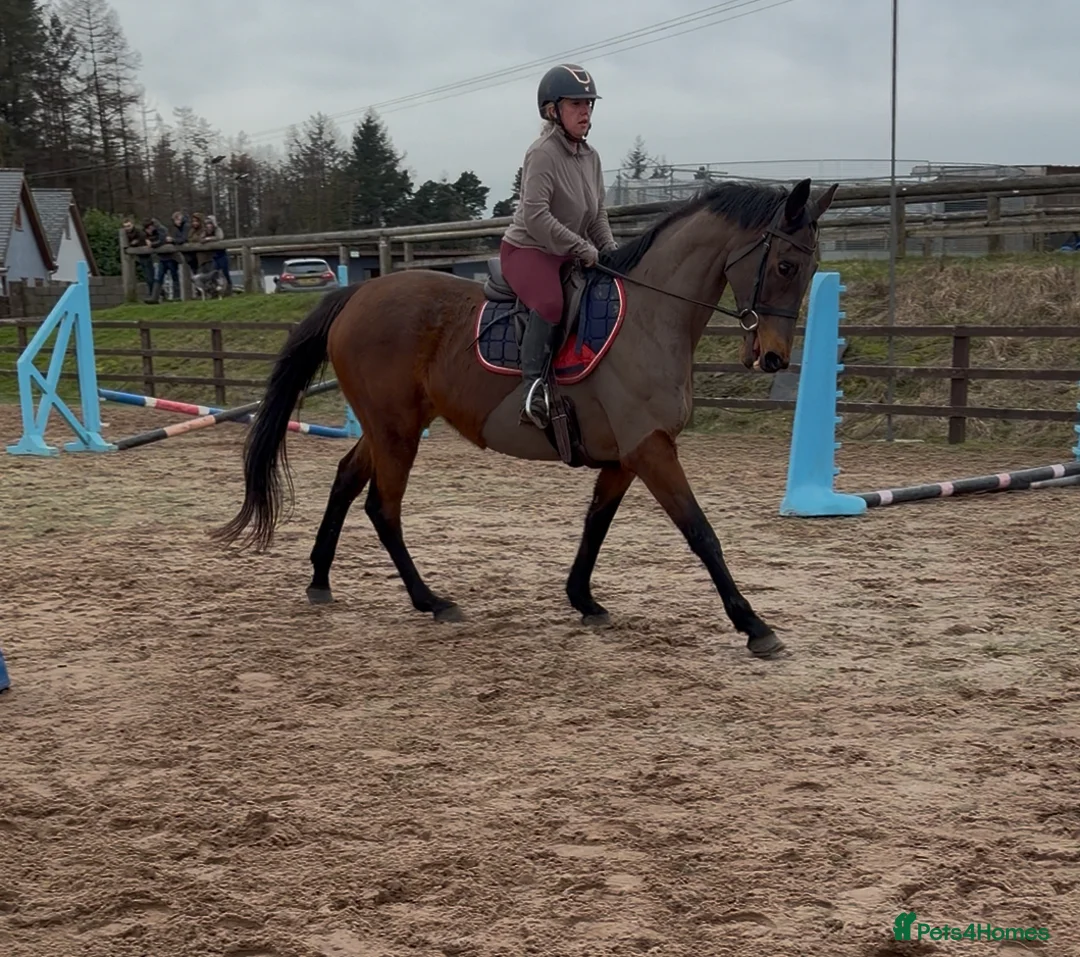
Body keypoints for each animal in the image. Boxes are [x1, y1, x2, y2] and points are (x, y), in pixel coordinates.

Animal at [212, 176, 838, 659]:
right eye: (785, 264)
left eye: (811, 269)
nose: (774, 357)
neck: (652, 316)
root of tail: (358, 296)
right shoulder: (651, 448)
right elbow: (702, 534)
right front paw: (754, 625)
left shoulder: (626, 456)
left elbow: (596, 525)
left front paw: (582, 598)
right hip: (396, 432)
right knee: (382, 509)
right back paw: (429, 600)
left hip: (390, 427)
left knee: (346, 480)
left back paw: (320, 579)